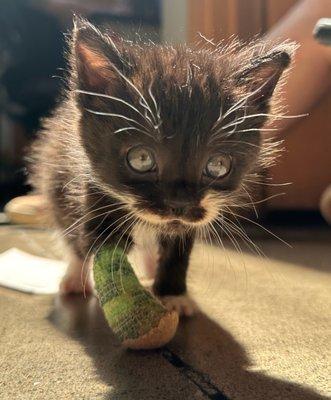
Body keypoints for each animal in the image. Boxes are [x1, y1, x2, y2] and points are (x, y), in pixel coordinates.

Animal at [28, 18, 294, 316]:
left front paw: (172, 294)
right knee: (71, 234)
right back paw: (75, 277)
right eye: (142, 159)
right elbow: (104, 252)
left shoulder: (188, 220)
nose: (179, 204)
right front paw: (125, 302)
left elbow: (176, 250)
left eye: (217, 165)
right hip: (56, 180)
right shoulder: (92, 186)